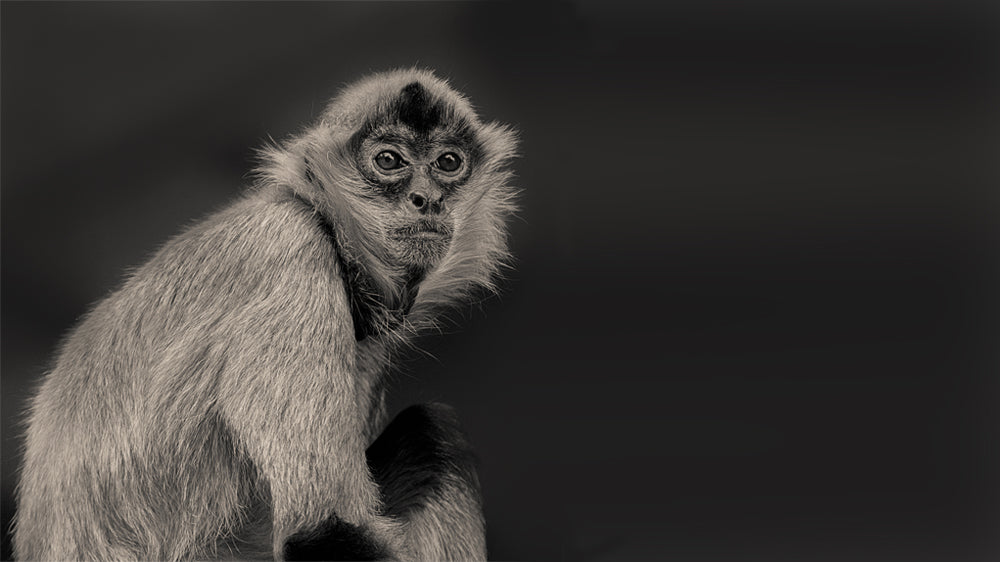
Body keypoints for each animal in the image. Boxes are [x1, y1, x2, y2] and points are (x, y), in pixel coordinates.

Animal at [12, 68, 518, 561]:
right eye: (389, 161)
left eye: (448, 163)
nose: (427, 198)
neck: (325, 222)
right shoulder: (293, 252)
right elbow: (322, 534)